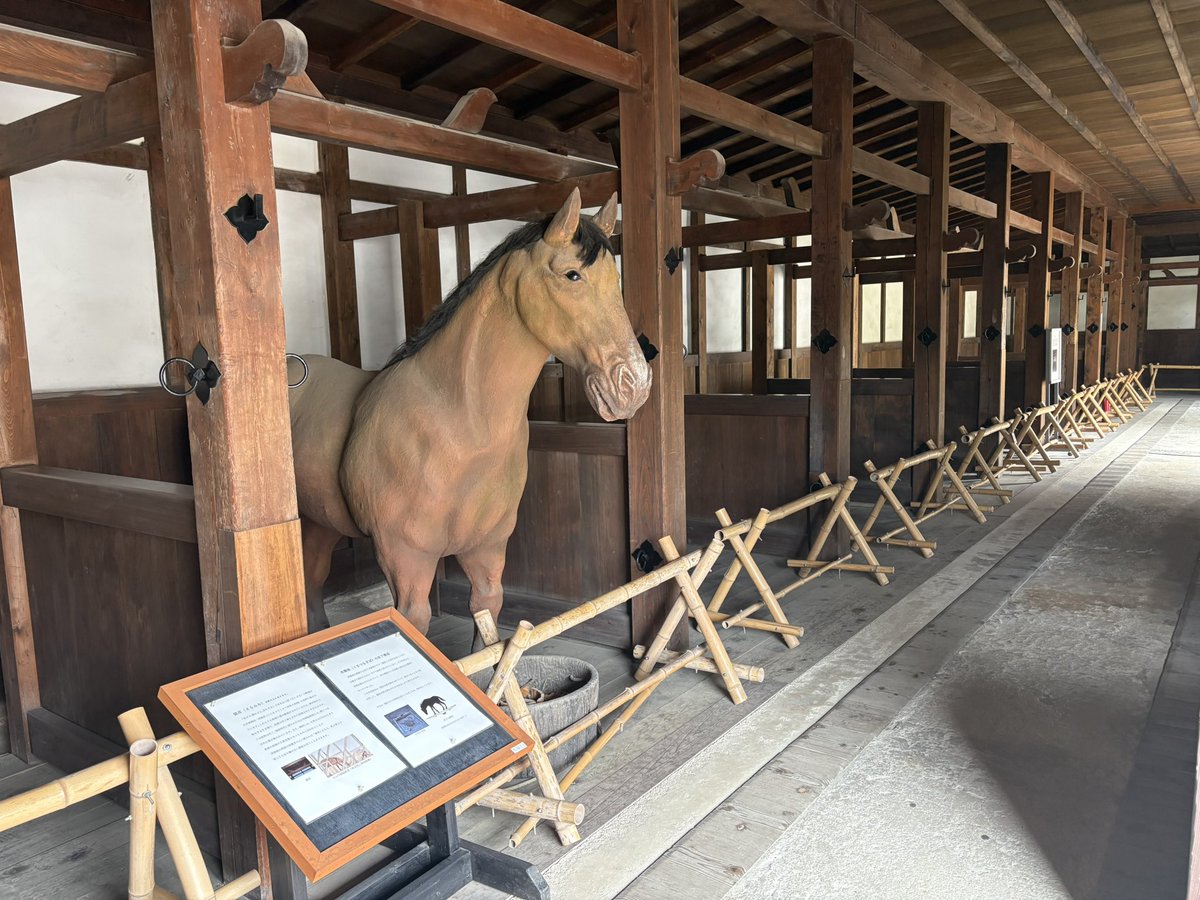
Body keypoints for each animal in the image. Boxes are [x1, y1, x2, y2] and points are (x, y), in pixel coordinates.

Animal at [288, 188, 651, 636]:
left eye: (614, 281)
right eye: (572, 276)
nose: (634, 384)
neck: (460, 427)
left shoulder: (488, 549)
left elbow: (487, 614)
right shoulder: (405, 559)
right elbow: (416, 621)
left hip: (320, 521)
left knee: (312, 575)